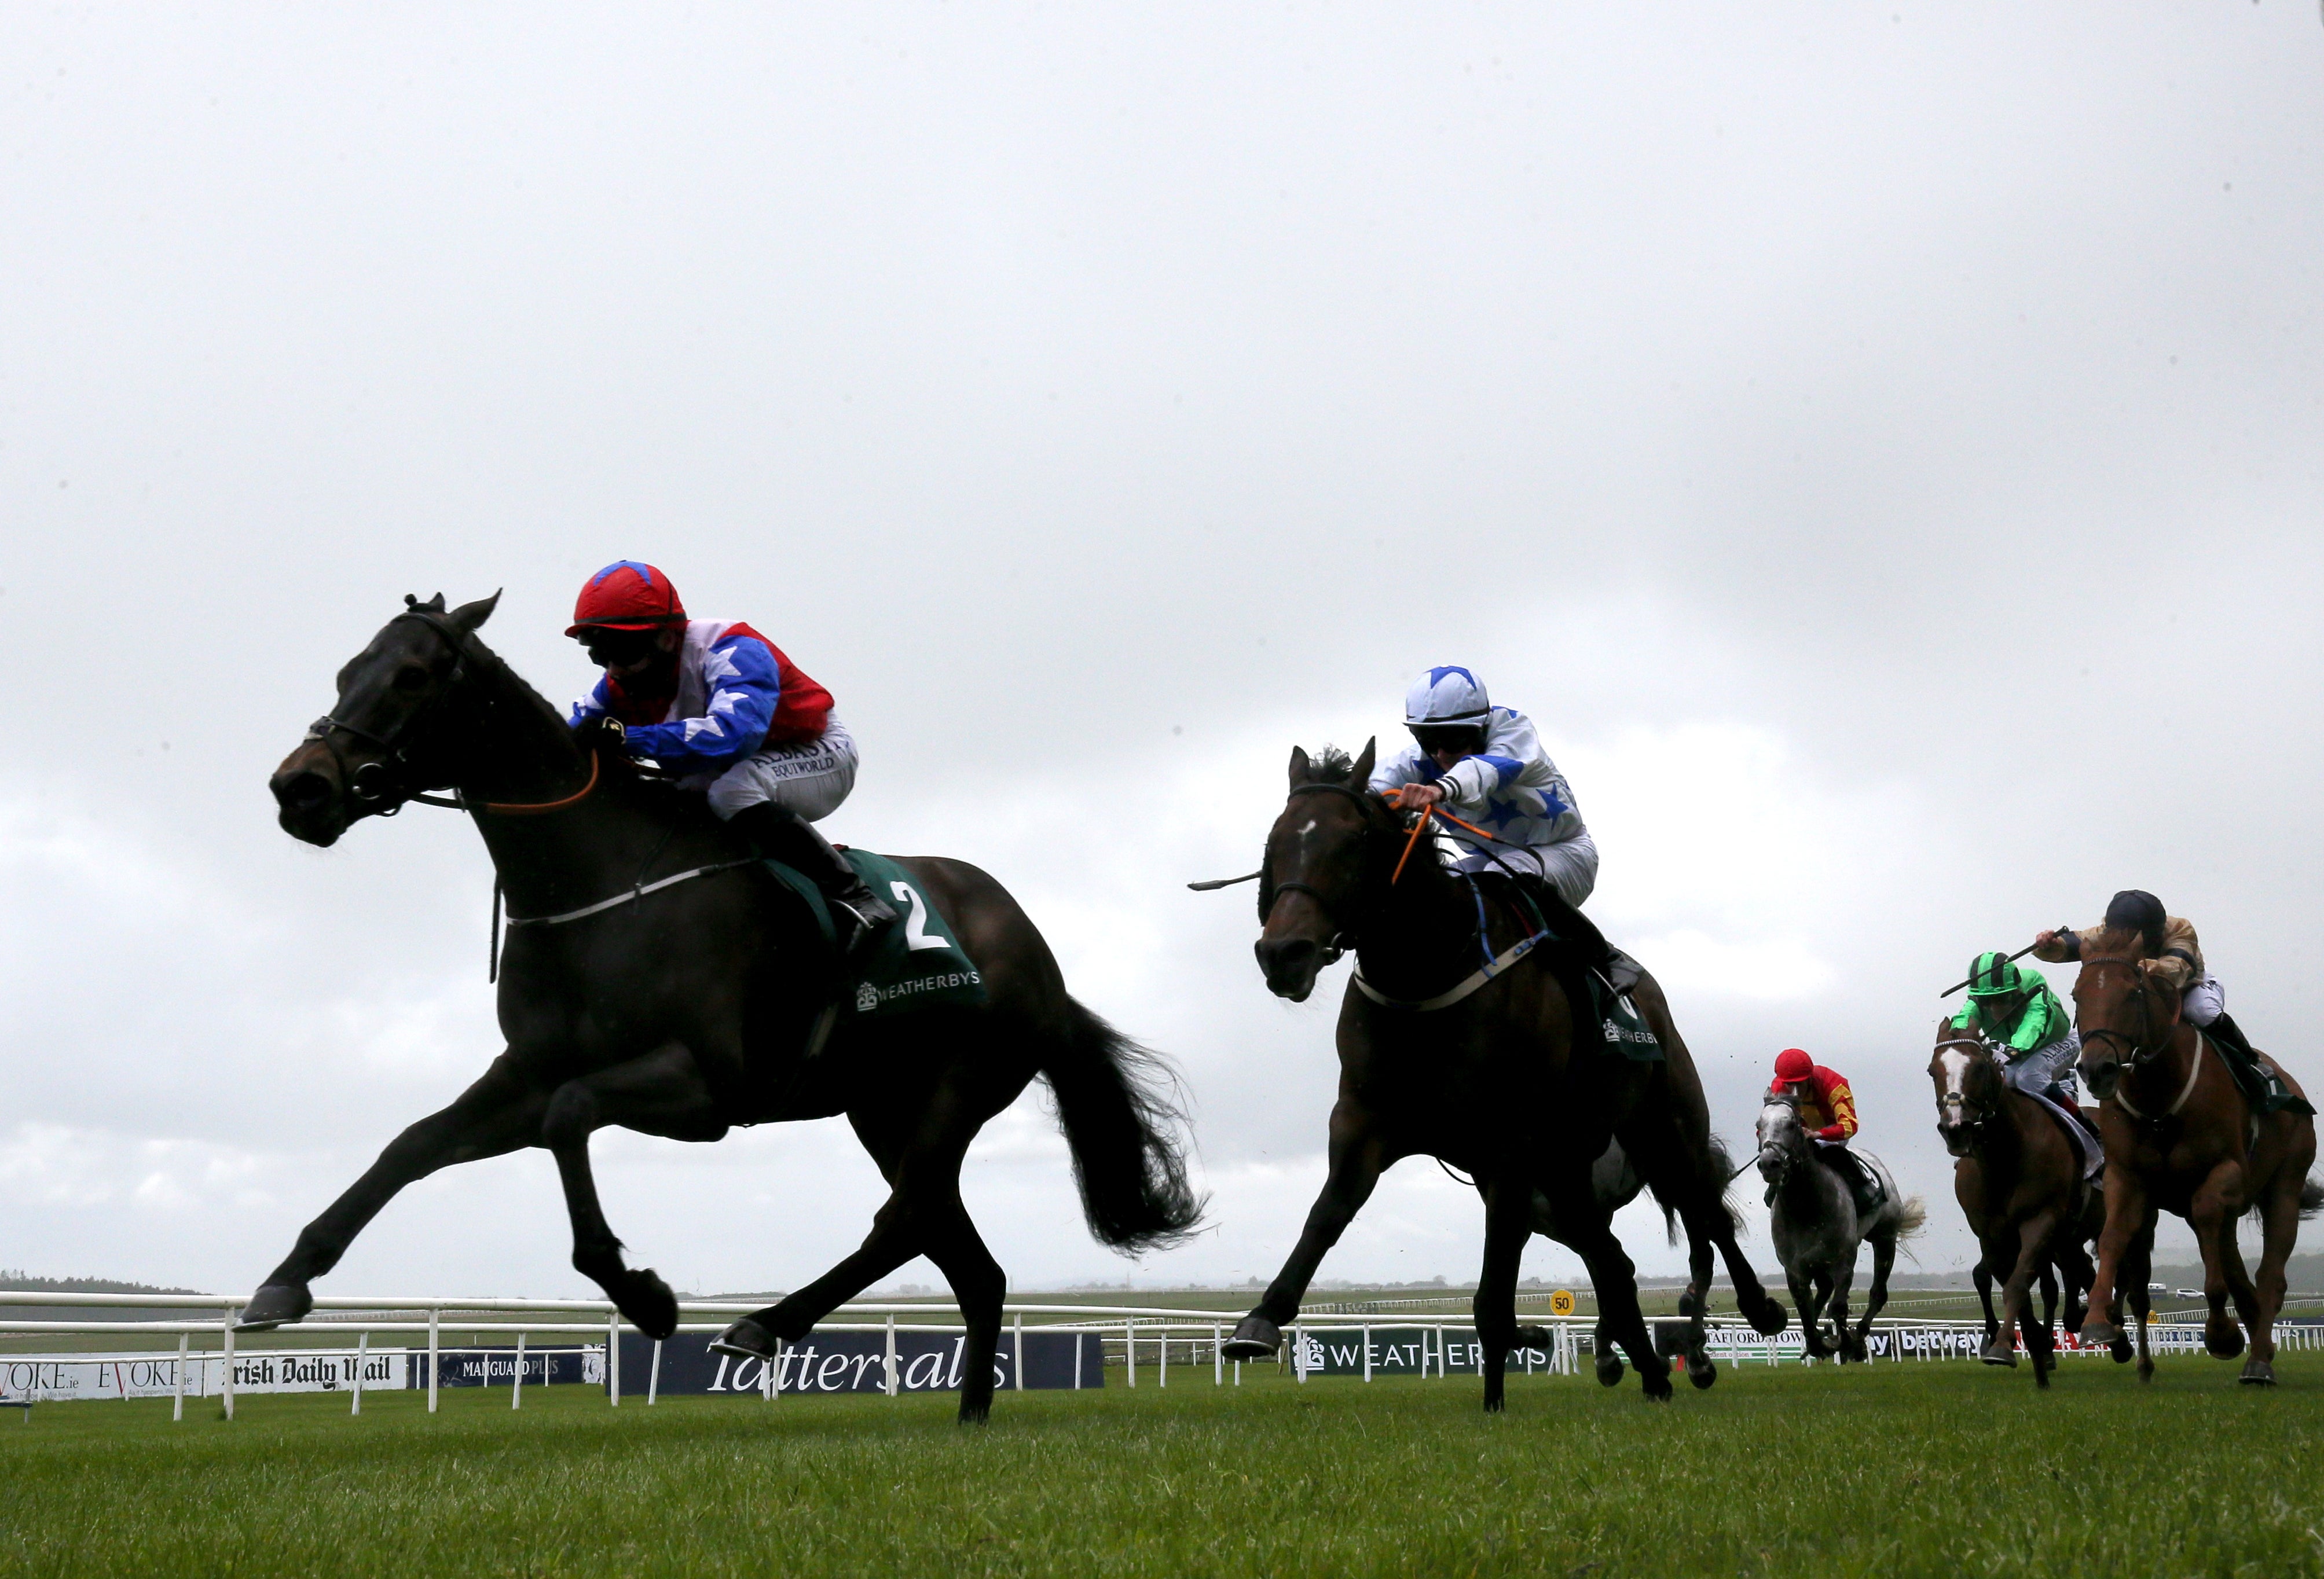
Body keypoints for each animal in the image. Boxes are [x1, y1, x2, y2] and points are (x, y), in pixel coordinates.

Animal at [250, 589, 1199, 1421]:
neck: (600, 882)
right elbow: (413, 1145)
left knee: (903, 1219)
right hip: (882, 1107)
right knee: (967, 1260)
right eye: (346, 672)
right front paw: (283, 1280)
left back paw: (763, 1324)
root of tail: (1036, 951)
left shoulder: (707, 1087)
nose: (300, 788)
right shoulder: (526, 1071)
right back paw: (967, 1415)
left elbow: (570, 1116)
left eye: (411, 677)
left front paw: (644, 1295)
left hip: (959, 1084)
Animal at [1218, 747, 1775, 1412]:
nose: (1284, 953)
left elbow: (1495, 1288)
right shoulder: (1365, 1119)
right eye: (1275, 843)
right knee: (1613, 1260)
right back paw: (1651, 1371)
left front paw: (1498, 1394)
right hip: (1567, 1169)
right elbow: (1328, 1212)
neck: (1426, 976)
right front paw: (1260, 1319)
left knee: (1706, 1214)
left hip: (1664, 1129)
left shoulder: (1509, 1142)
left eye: (1353, 843)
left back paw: (1756, 1313)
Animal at [1747, 1091, 1915, 1365]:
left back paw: (1858, 1336)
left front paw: (1846, 1343)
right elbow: (1805, 1309)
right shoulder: (1795, 1268)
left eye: (1792, 1124)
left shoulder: (1843, 1261)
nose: (1770, 1163)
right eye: (1759, 1125)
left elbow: (1839, 1308)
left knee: (1878, 1294)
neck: (1805, 1206)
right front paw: (1818, 1342)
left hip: (1885, 1238)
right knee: (1824, 1291)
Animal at [1924, 1022, 2110, 1384]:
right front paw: (2028, 1347)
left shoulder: (2040, 1221)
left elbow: (2018, 1285)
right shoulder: (1992, 1237)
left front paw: (2003, 1347)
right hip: (2068, 1238)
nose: (1956, 1128)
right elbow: (2007, 1285)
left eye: (1980, 1068)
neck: (2004, 1157)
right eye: (1932, 1071)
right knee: (2080, 1269)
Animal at [2082, 924, 2314, 1384]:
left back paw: (2259, 1361)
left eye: (2131, 993)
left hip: (2286, 1183)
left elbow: (2209, 1221)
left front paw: (2222, 1334)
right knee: (2239, 1271)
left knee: (2270, 1275)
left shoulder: (2226, 1172)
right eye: (2078, 993)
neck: (2160, 1098)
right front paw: (2098, 1320)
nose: (2096, 1069)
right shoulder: (2127, 1177)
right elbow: (2113, 1236)